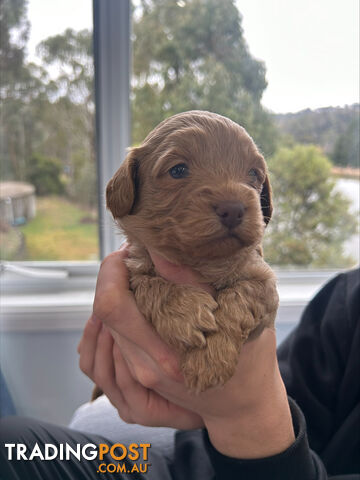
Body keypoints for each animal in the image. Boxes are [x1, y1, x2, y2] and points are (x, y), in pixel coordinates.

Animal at [97, 110, 278, 396]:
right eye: (178, 170)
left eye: (253, 173)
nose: (233, 208)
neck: (202, 262)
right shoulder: (137, 264)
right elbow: (148, 284)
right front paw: (184, 313)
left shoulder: (264, 283)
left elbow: (241, 294)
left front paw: (210, 359)